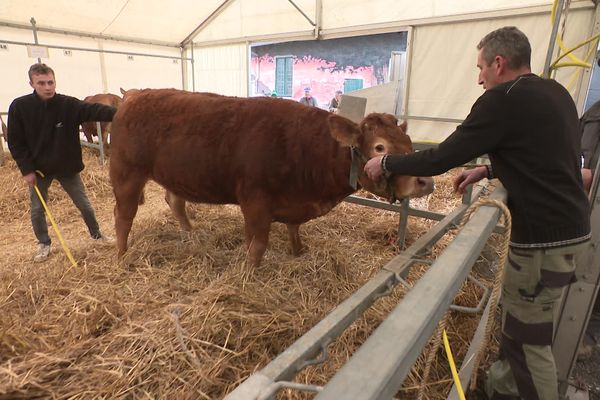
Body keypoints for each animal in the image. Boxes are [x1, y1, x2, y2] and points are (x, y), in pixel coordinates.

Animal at [110, 89, 434, 268]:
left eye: (408, 141)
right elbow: (257, 246)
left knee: (174, 201)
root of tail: (134, 95)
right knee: (123, 215)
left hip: (174, 175)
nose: (425, 182)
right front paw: (248, 276)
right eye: (380, 147)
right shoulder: (255, 203)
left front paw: (298, 253)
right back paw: (122, 255)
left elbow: (294, 231)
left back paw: (190, 234)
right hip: (126, 172)